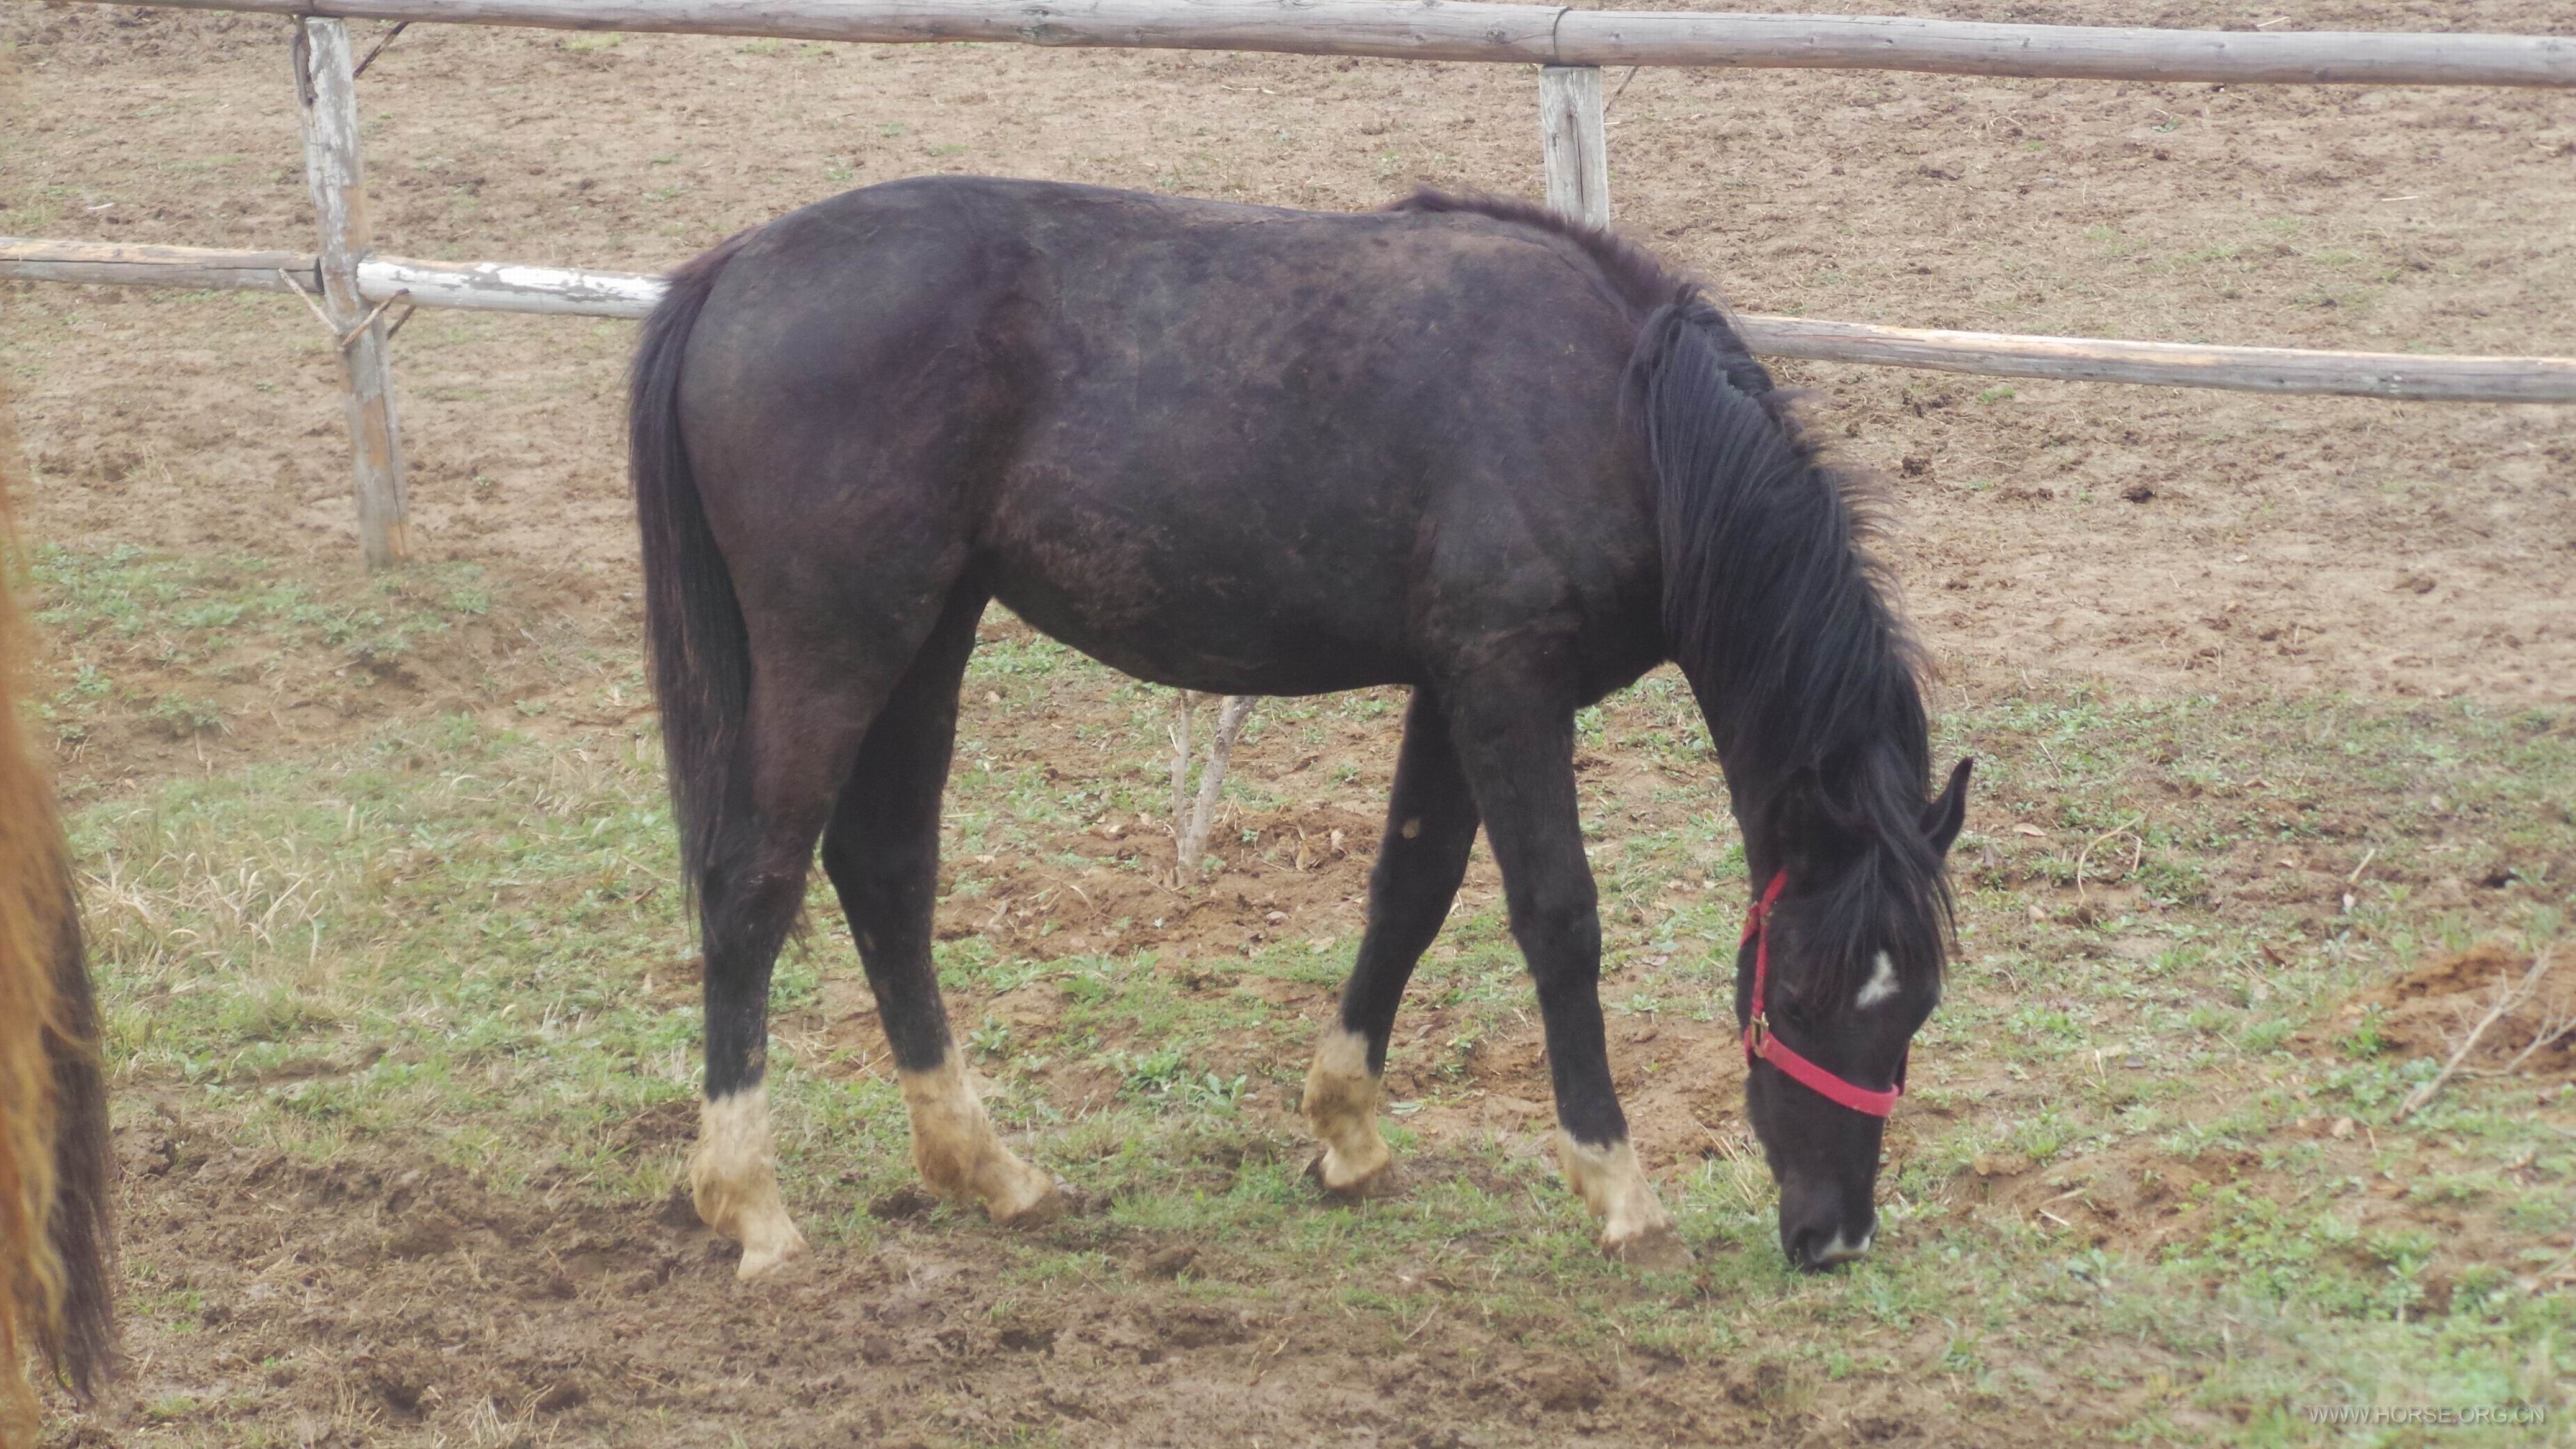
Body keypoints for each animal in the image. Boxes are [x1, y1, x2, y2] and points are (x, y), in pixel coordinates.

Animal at [628, 176, 1968, 1276]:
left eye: (1914, 1005)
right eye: (1801, 990)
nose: (1832, 1234)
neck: (1618, 412)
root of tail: (732, 268)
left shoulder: (1454, 686)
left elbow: (1410, 890)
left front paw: (1347, 1133)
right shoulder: (1507, 682)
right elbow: (1558, 917)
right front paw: (1618, 1187)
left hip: (929, 632)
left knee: (886, 871)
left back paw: (989, 1169)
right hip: (837, 647)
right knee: (753, 886)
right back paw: (751, 1204)